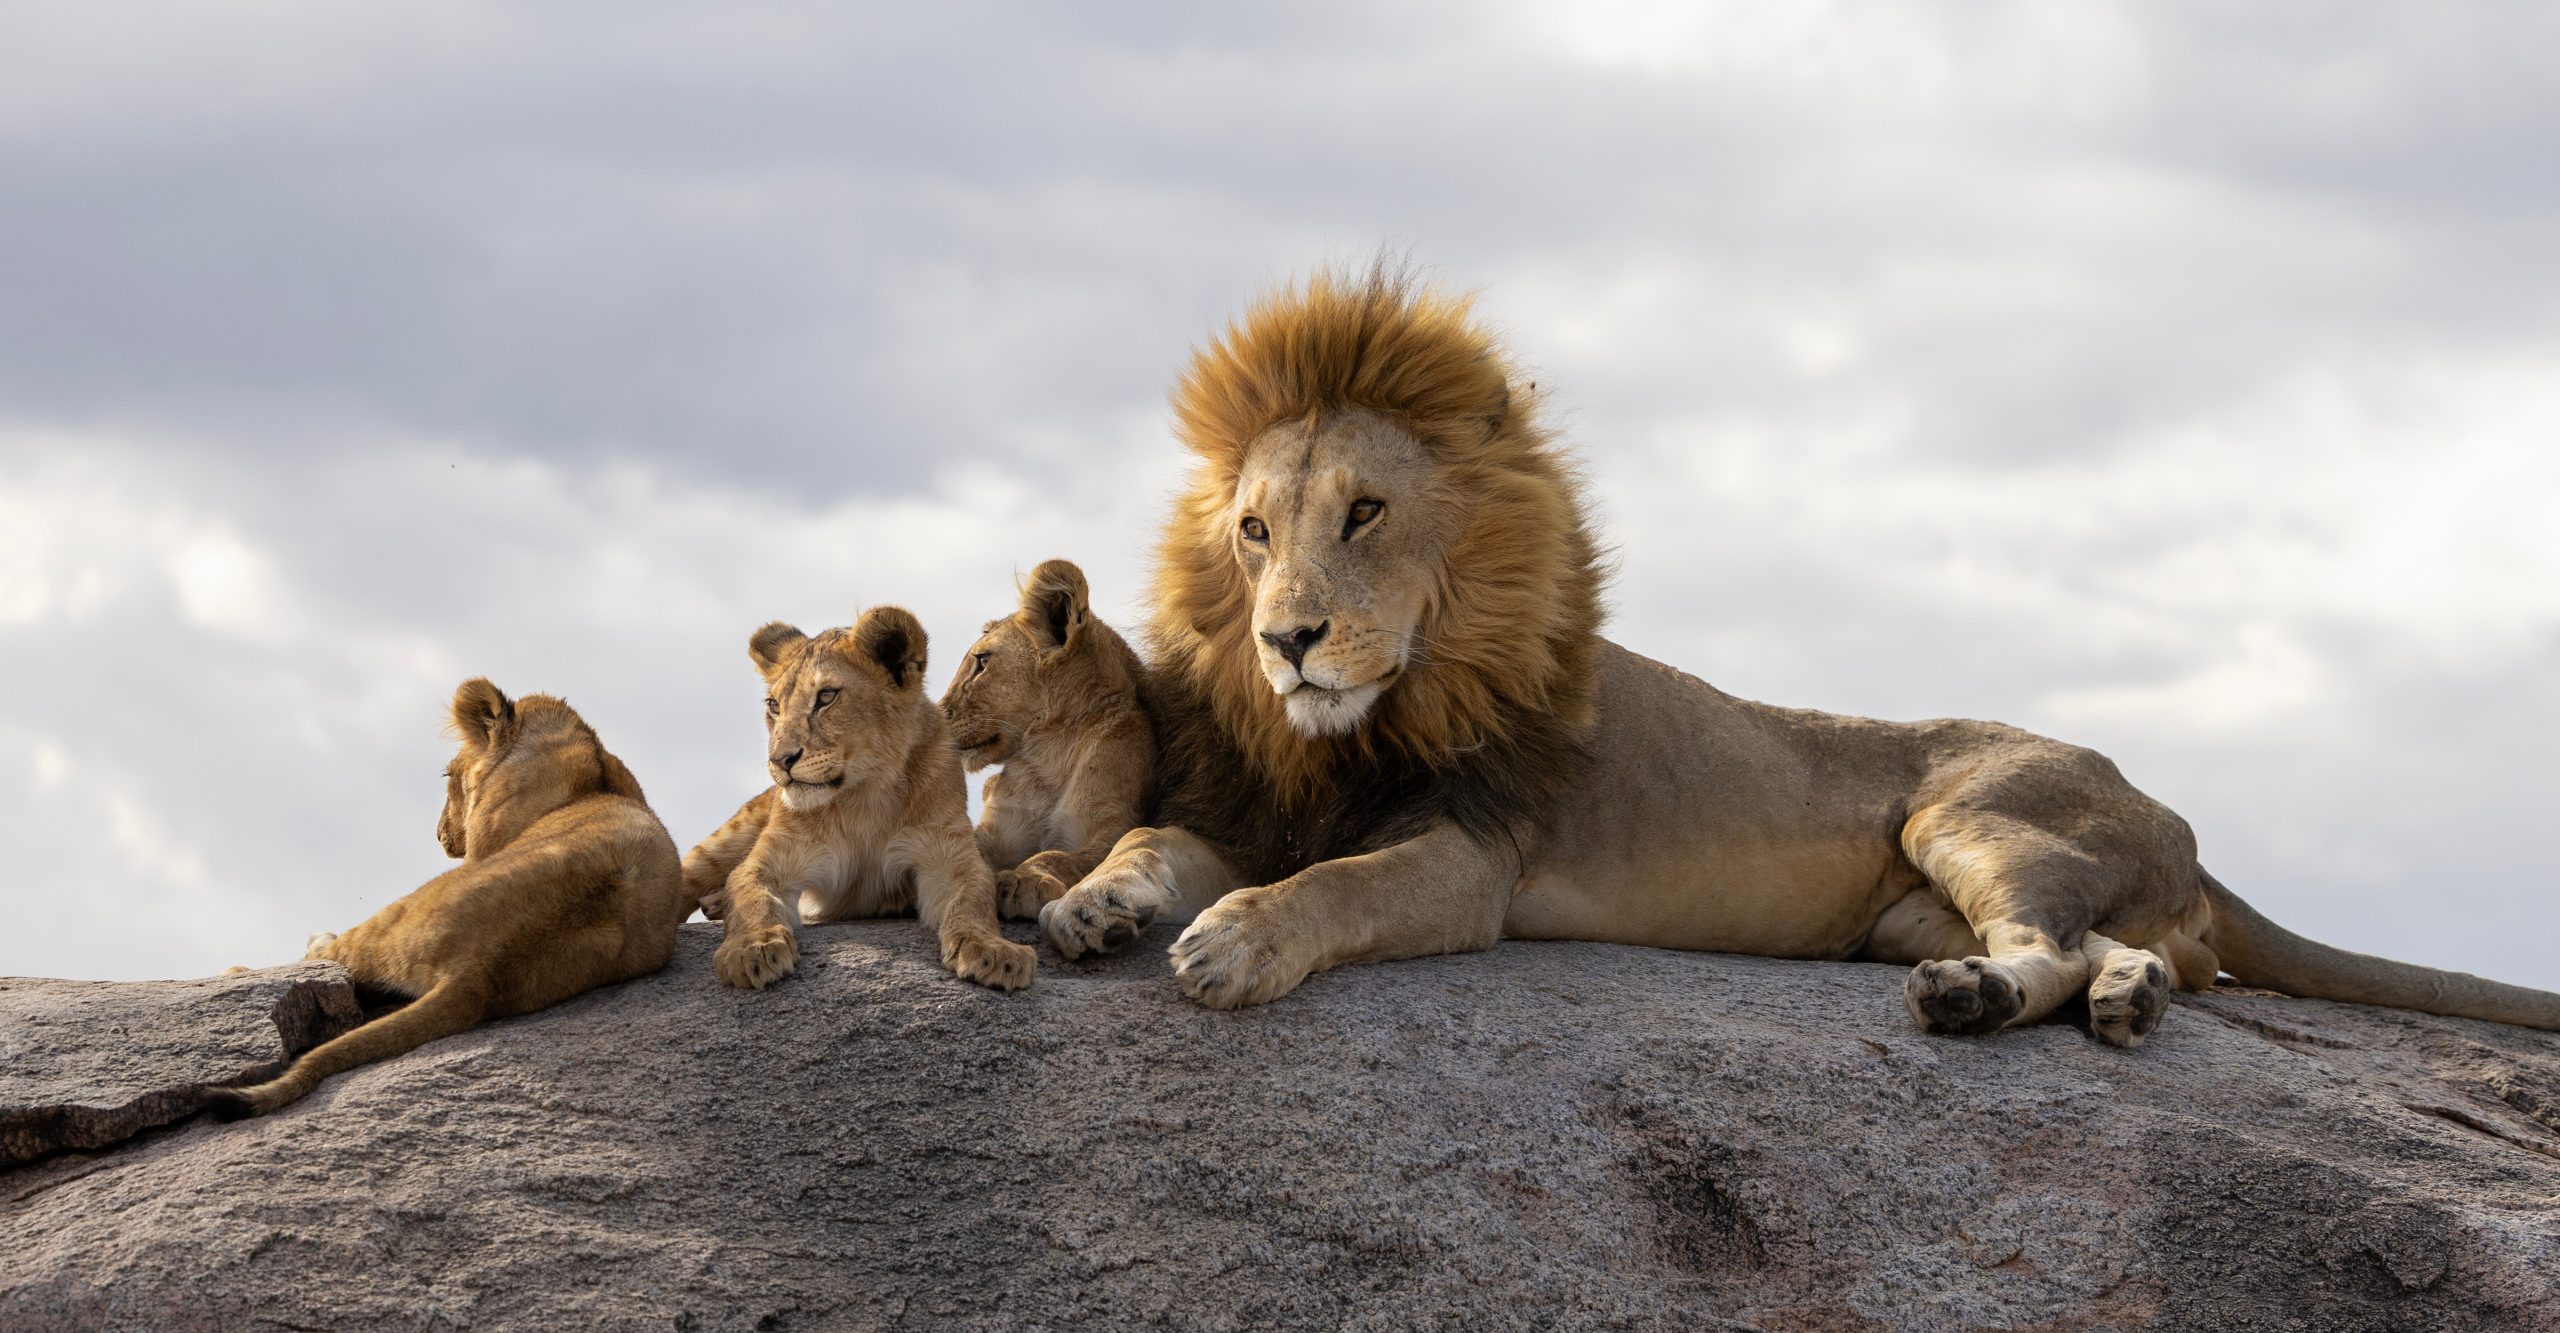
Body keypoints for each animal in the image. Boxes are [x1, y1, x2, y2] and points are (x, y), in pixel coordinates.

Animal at [208, 680, 688, 1118]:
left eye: (447, 777)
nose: (438, 835)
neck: (583, 751)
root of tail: (480, 971)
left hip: (406, 909)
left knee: (339, 953)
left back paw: (246, 966)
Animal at [682, 606, 1033, 992]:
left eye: (826, 697)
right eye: (774, 706)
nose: (780, 760)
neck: (864, 795)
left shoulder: (947, 854)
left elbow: (974, 900)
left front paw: (993, 951)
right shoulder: (773, 859)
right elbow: (749, 895)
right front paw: (752, 949)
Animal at [939, 559, 1157, 923]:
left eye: (982, 662)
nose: (937, 718)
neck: (1045, 760)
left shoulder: (1117, 825)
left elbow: (1062, 856)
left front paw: (1026, 880)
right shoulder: (996, 831)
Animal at [1040, 265, 2560, 1045]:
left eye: (1362, 512)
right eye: (1251, 532)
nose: (1287, 639)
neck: (1355, 726)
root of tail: (2177, 818)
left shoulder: (1473, 860)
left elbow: (1337, 889)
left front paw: (1239, 942)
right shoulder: (1255, 811)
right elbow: (1153, 842)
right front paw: (1093, 907)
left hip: (1970, 812)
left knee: (2047, 944)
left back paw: (1977, 1000)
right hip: (1915, 902)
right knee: (2132, 953)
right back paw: (2120, 995)